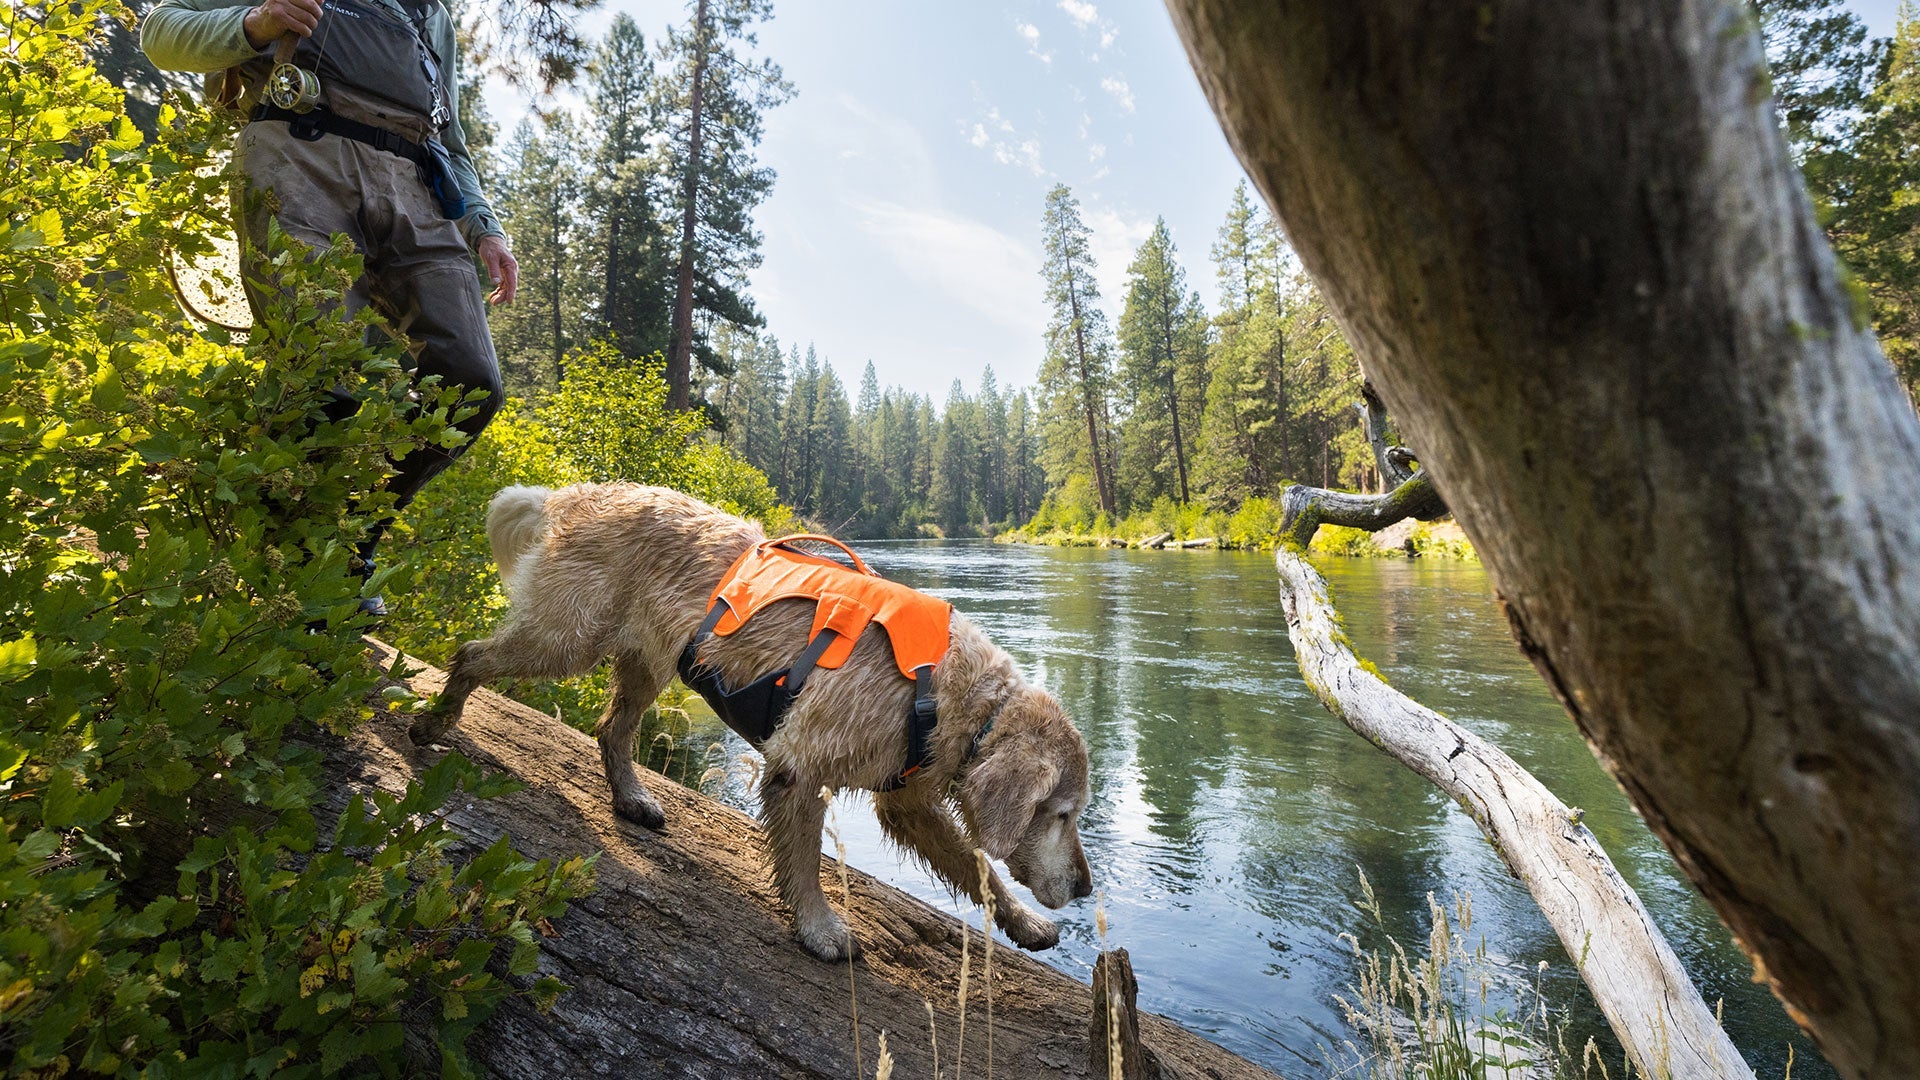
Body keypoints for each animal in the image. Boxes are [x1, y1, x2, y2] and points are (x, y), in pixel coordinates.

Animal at [410, 484, 1090, 953]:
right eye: (1059, 814)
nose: (1084, 888)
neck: (949, 693)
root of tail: (570, 493)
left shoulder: (908, 803)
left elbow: (979, 870)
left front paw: (1025, 922)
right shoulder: (801, 767)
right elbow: (806, 863)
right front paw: (819, 928)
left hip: (647, 661)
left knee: (611, 729)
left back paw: (632, 798)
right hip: (565, 638)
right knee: (470, 655)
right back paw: (434, 724)